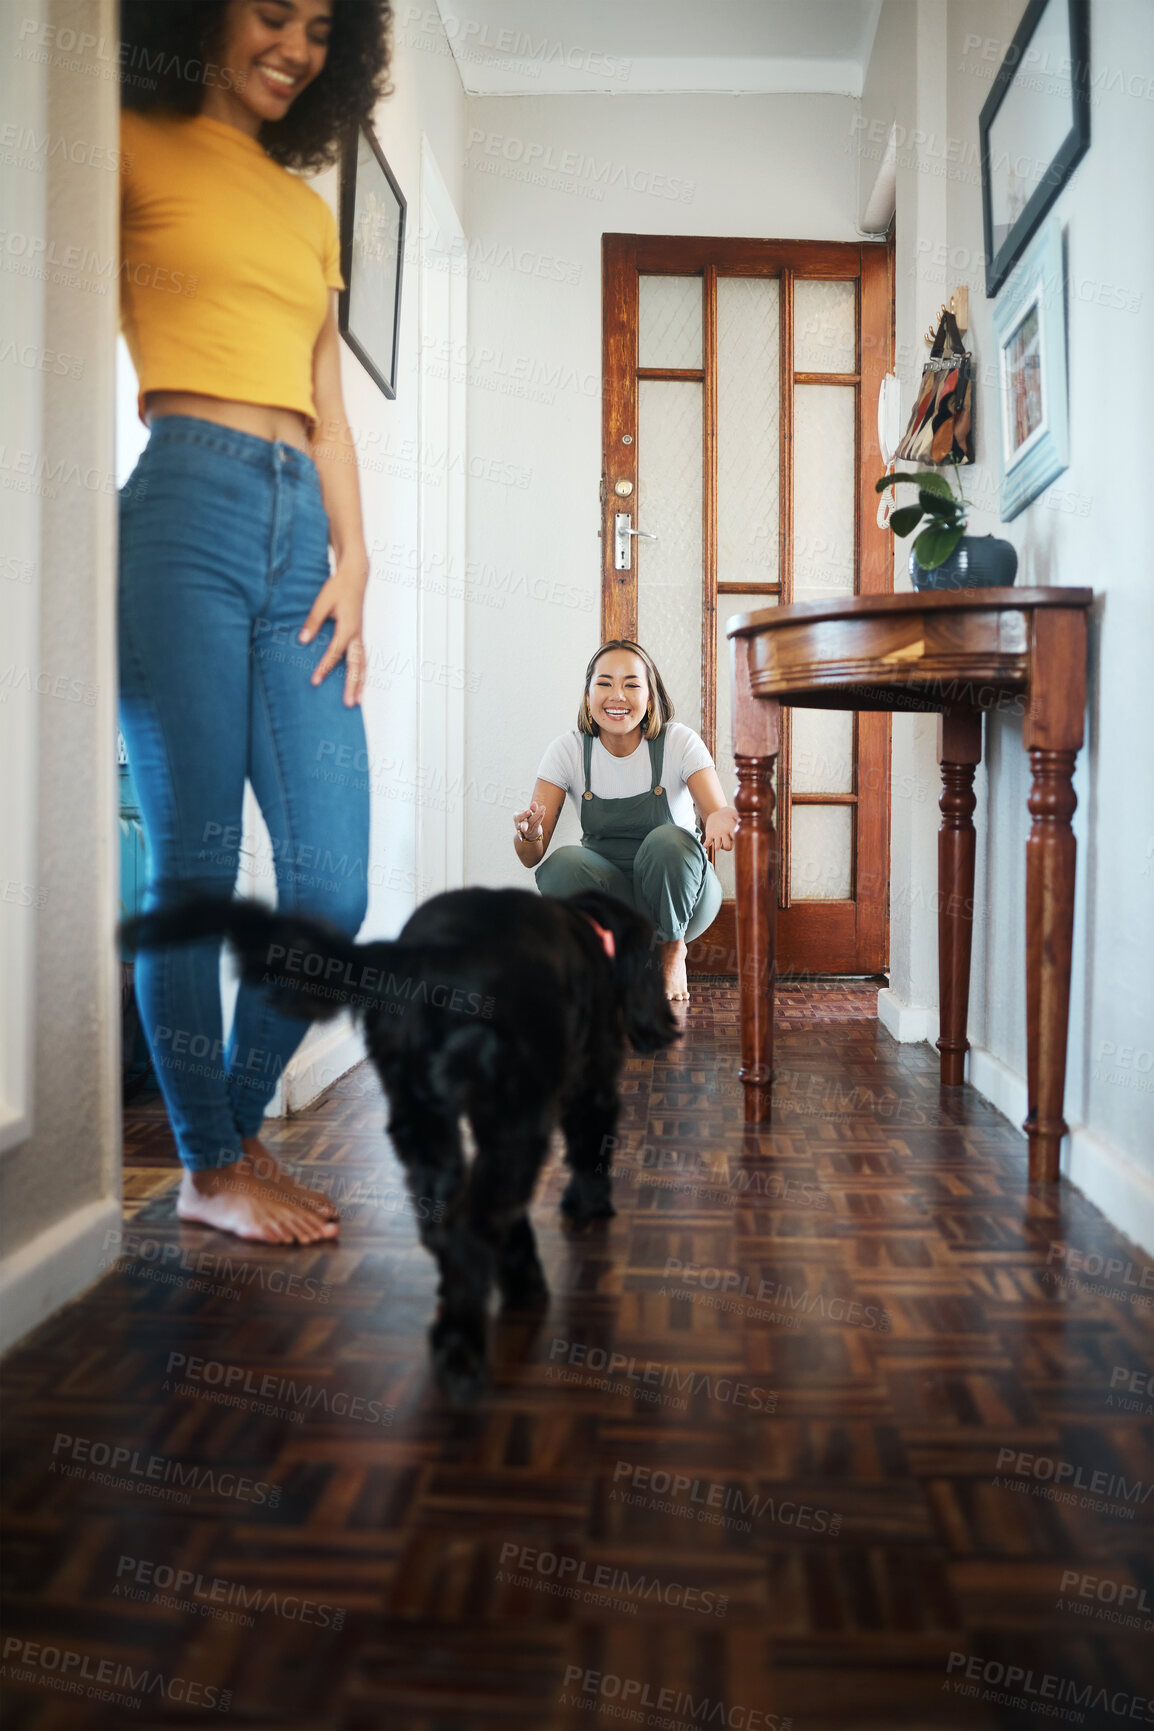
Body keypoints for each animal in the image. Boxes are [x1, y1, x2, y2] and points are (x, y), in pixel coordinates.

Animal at [121, 886, 678, 1398]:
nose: (670, 1027)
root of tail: (428, 959)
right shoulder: (591, 1080)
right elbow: (591, 1147)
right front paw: (590, 1206)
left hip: (422, 1124)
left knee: (447, 1225)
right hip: (514, 1121)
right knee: (470, 1226)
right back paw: (473, 1345)